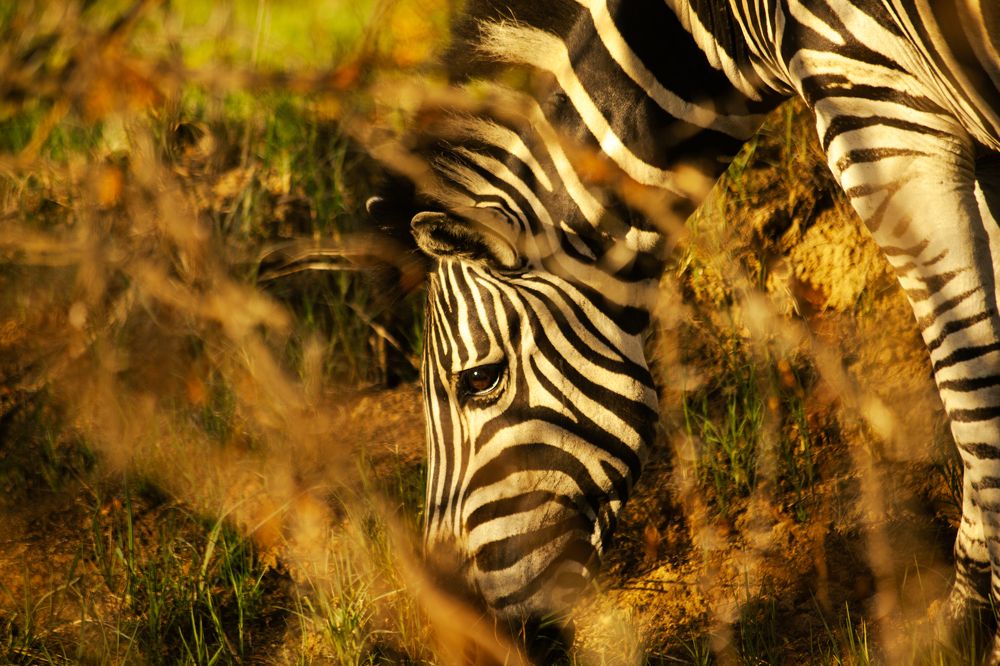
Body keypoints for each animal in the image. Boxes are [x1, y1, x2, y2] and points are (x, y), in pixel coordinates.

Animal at [361, 0, 1000, 655]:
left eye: (479, 380)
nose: (459, 638)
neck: (727, 26)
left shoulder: (884, 119)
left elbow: (970, 381)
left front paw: (966, 619)